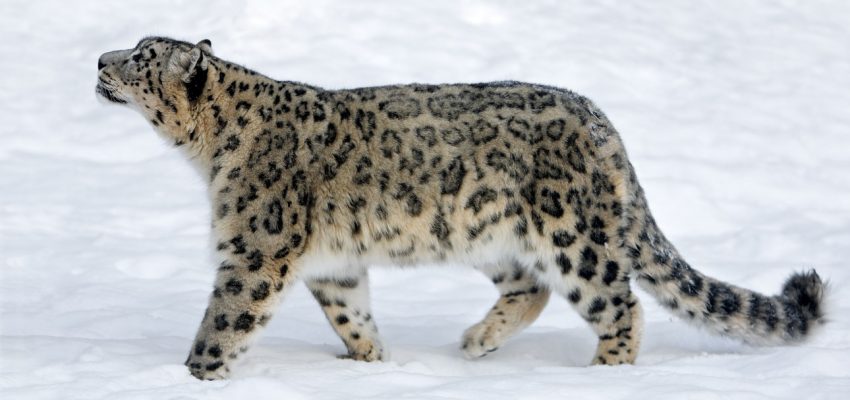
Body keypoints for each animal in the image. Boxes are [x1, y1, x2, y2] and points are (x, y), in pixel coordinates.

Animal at [96, 37, 826, 380]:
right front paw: (372, 362)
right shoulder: (332, 265)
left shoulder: (255, 249)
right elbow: (350, 313)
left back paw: (603, 374)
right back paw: (477, 342)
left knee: (620, 303)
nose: (101, 59)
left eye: (141, 57)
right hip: (489, 233)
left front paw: (193, 376)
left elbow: (223, 322)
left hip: (573, 235)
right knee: (530, 287)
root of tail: (602, 124)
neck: (209, 153)